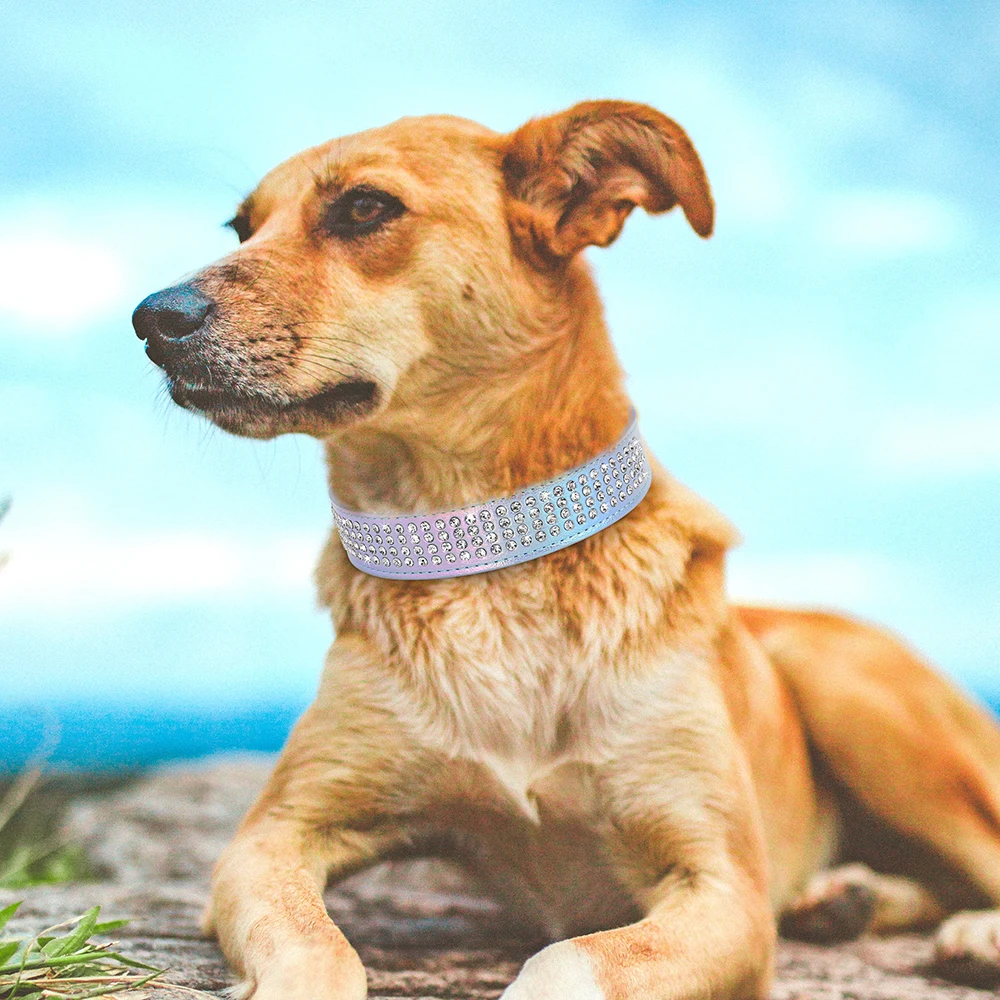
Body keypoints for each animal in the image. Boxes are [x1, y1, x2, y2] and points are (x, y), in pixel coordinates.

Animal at [135, 103, 1000, 1000]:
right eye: (243, 226)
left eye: (365, 208)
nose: (154, 319)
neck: (488, 561)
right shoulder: (273, 835)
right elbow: (313, 945)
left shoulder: (722, 889)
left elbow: (568, 958)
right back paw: (845, 898)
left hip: (857, 700)